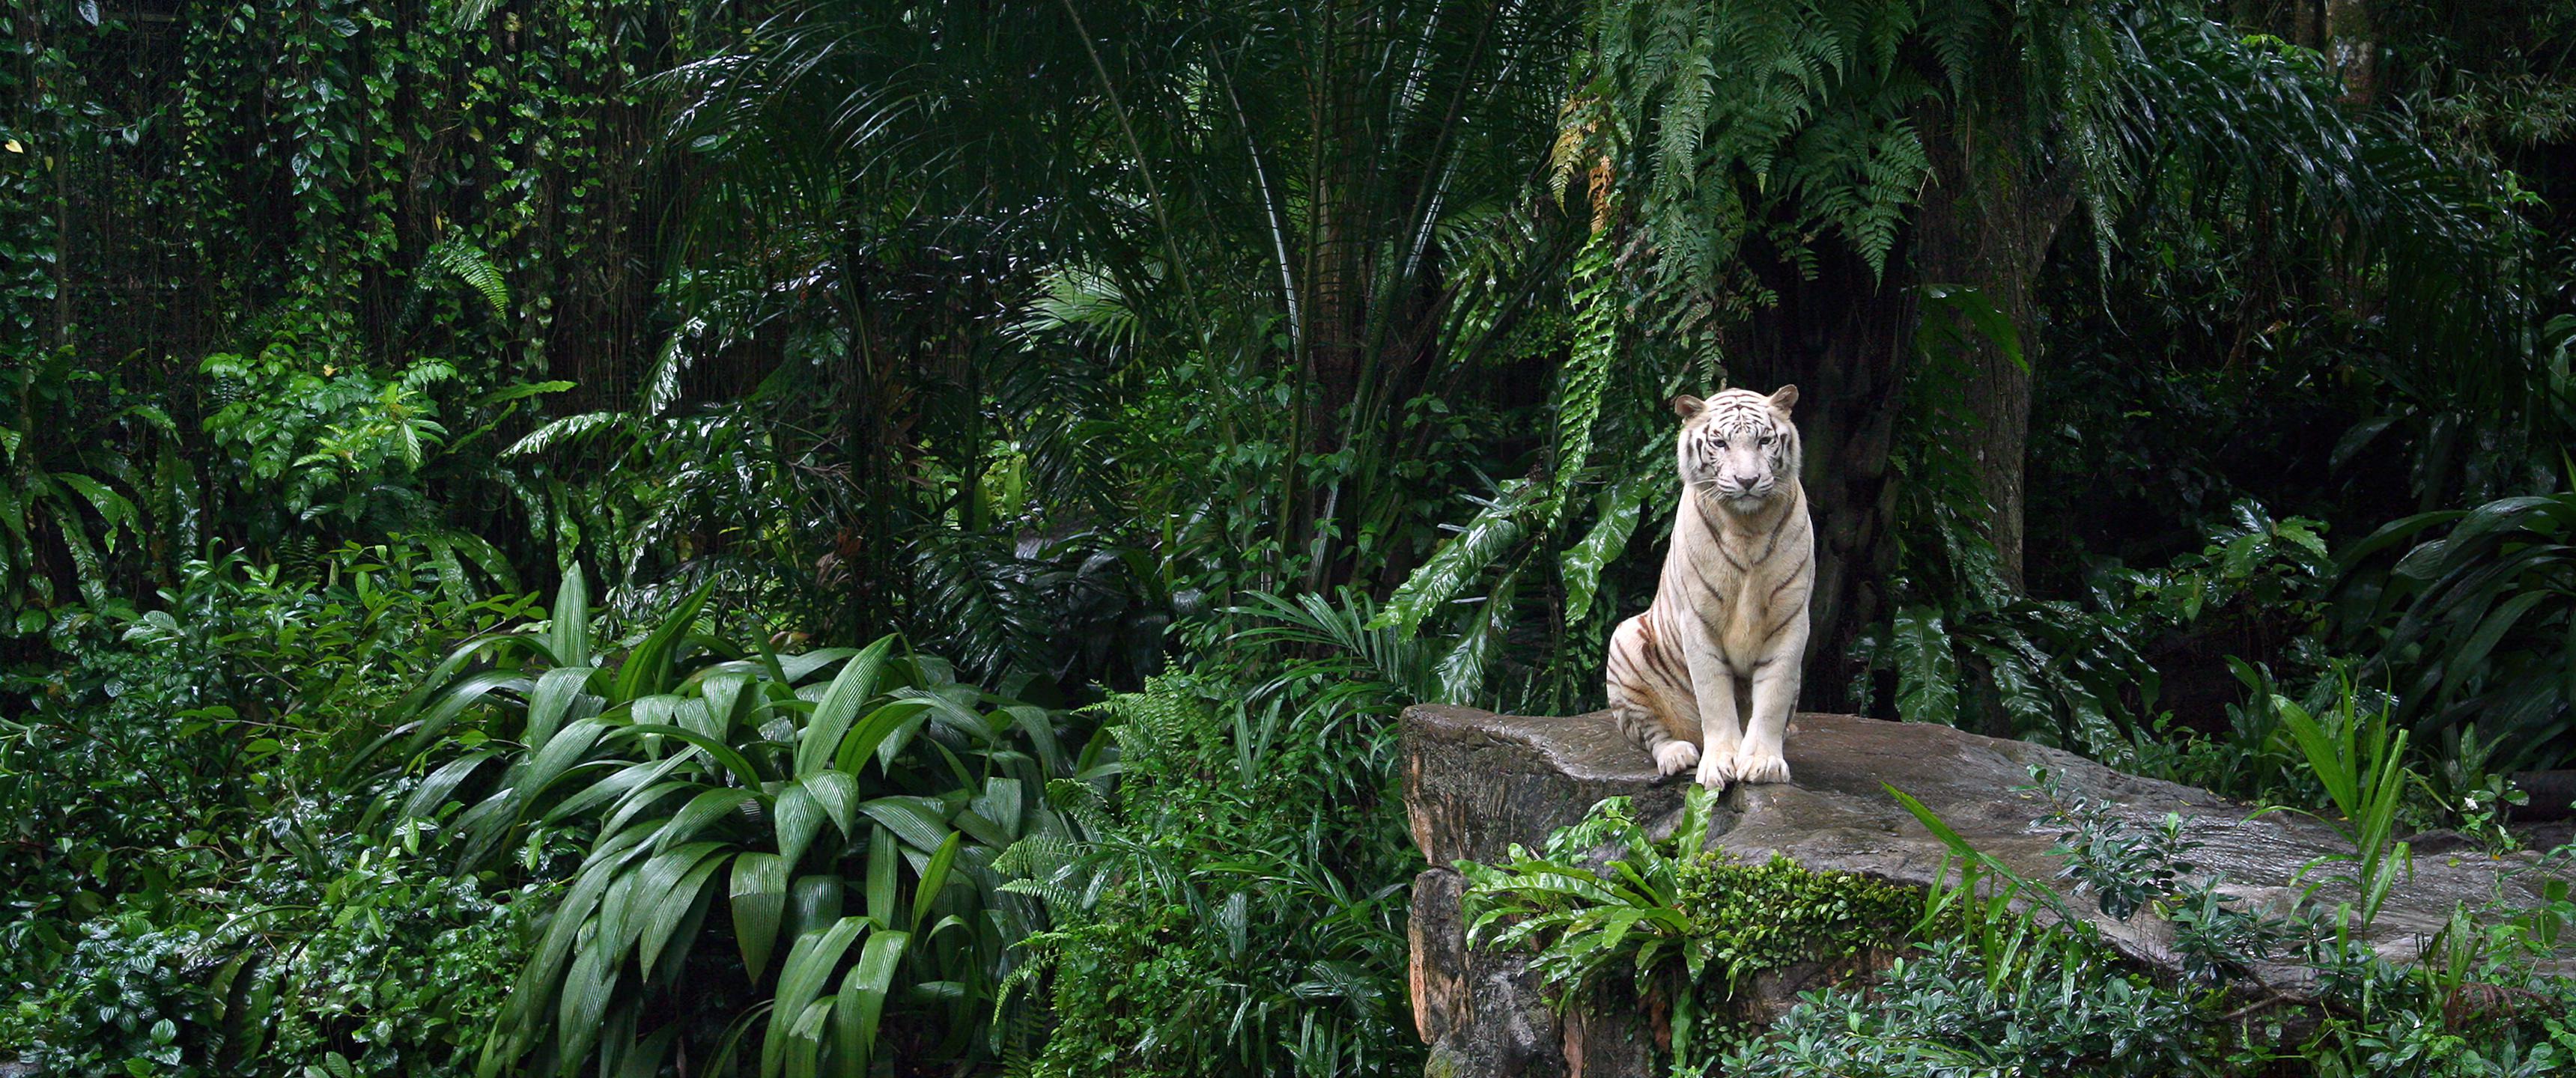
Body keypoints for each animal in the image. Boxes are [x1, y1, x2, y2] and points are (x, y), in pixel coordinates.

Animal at [1604, 385, 1814, 791]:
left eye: (1764, 440)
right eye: (1719, 443)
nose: (1748, 481)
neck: (1748, 528)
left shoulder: (1791, 620)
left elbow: (1774, 696)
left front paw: (1763, 763)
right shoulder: (1698, 621)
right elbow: (1714, 699)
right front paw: (1720, 764)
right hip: (1625, 641)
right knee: (1653, 733)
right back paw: (1677, 755)